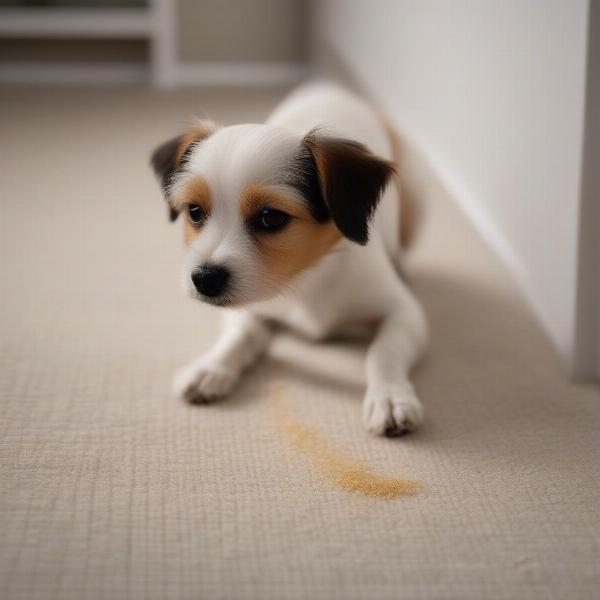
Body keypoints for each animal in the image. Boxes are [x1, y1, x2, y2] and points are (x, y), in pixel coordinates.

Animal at [152, 82, 428, 436]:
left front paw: (390, 396)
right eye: (195, 211)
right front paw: (210, 367)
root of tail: (329, 87)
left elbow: (384, 351)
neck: (307, 280)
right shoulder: (246, 308)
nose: (204, 279)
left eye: (271, 217)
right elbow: (240, 334)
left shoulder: (405, 312)